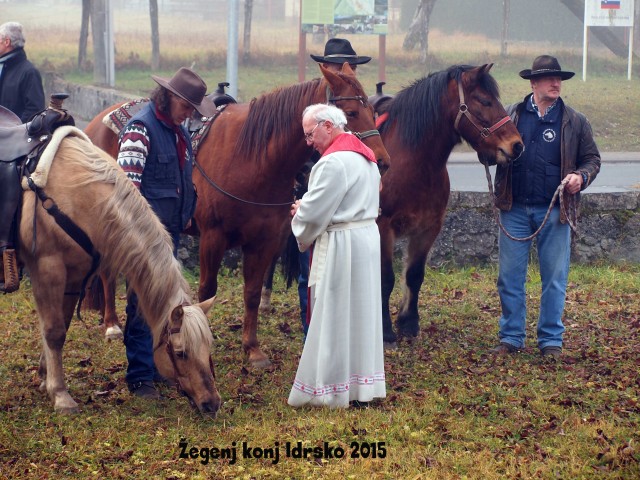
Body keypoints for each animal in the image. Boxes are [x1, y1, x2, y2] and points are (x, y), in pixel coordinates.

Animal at [15, 127, 220, 416]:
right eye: (181, 353)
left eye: (208, 346)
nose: (212, 403)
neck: (80, 195)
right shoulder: (48, 269)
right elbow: (53, 331)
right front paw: (60, 395)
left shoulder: (73, 277)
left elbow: (60, 326)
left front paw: (45, 378)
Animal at [378, 65, 524, 346]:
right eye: (485, 101)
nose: (517, 145)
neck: (410, 163)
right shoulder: (382, 228)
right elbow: (386, 278)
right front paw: (386, 331)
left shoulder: (428, 228)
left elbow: (414, 276)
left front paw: (409, 324)